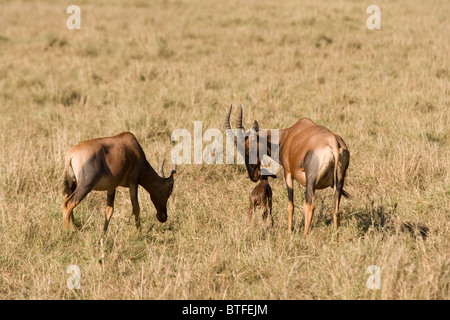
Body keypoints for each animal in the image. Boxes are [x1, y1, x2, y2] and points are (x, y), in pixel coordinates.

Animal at [227, 105, 350, 238]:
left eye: (248, 149)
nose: (253, 176)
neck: (288, 135)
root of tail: (334, 144)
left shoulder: (288, 173)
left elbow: (290, 205)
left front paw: (288, 232)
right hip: (338, 182)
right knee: (336, 209)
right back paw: (336, 237)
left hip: (311, 181)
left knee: (310, 206)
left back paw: (305, 237)